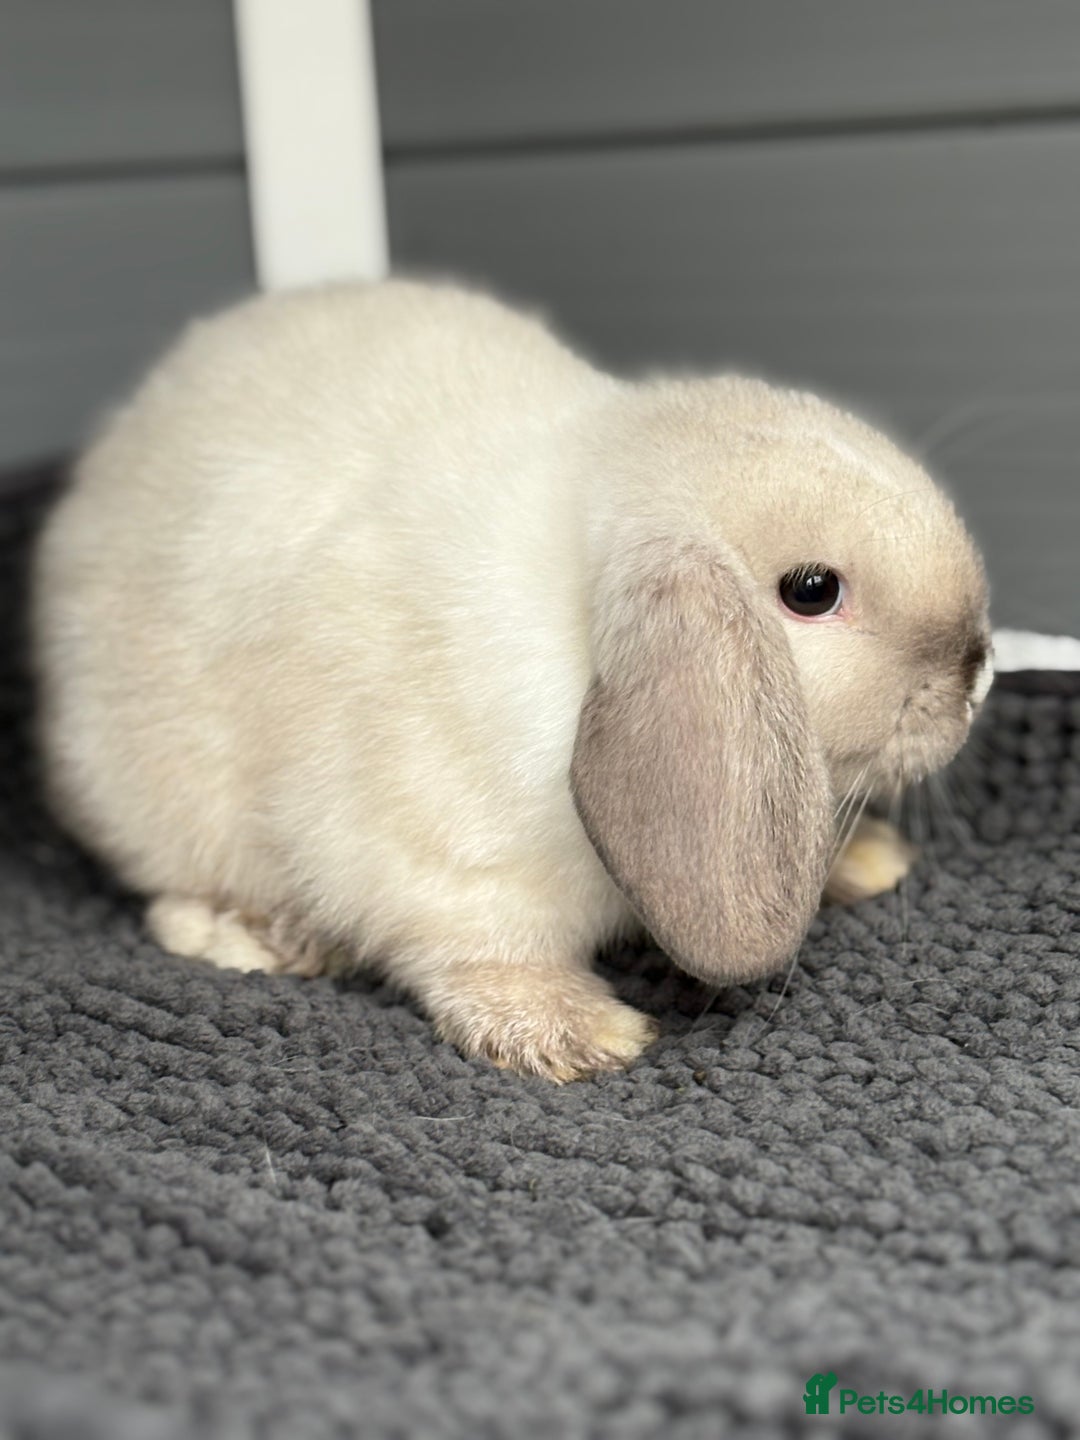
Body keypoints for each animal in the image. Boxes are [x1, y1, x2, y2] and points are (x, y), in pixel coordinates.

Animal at [32, 279, 993, 1081]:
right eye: (812, 590)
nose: (978, 668)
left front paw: (868, 860)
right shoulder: (436, 861)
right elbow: (476, 951)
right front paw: (579, 1035)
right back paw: (261, 937)